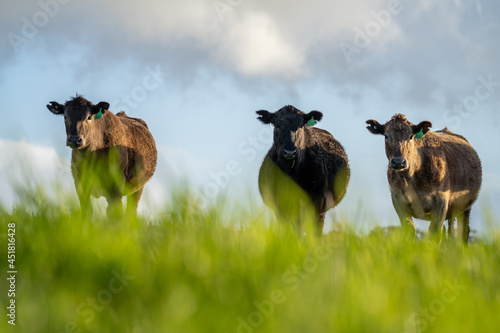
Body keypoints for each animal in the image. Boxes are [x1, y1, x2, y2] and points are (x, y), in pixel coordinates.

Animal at [366, 114, 482, 244]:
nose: (398, 162)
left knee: (463, 232)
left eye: (410, 136)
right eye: (386, 136)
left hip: (465, 206)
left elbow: (435, 232)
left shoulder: (441, 201)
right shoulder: (398, 201)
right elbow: (410, 229)